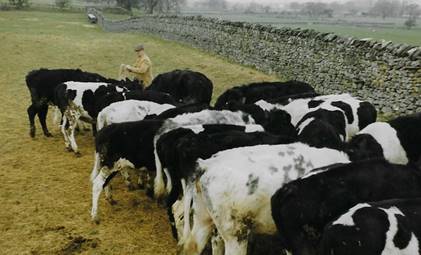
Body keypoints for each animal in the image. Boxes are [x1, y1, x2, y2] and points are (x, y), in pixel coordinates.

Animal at [91, 109, 254, 223]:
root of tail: (103, 132)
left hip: (110, 165)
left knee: (105, 183)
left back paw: (110, 199)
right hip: (111, 164)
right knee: (98, 183)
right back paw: (95, 216)